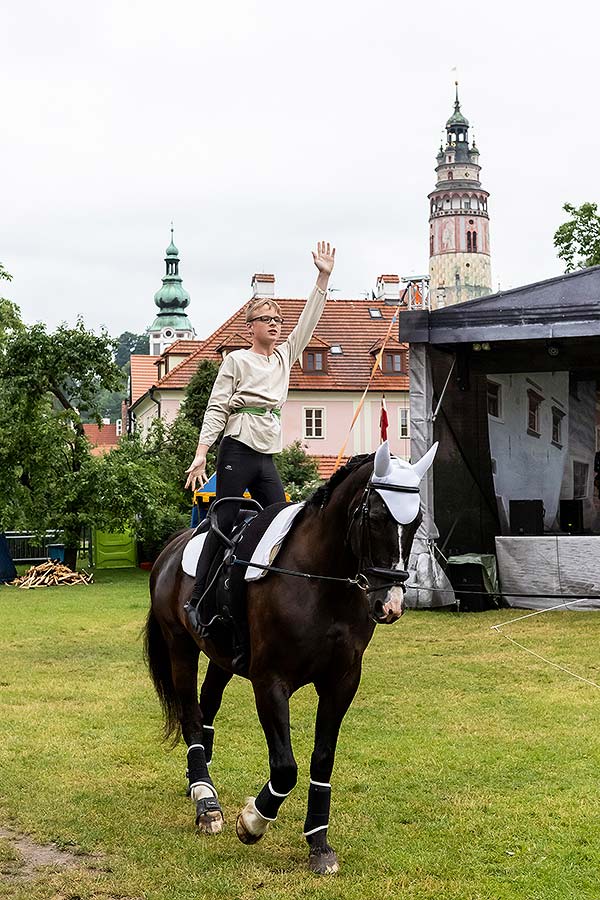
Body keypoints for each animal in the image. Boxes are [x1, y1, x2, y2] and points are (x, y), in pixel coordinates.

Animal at [145, 440, 436, 876]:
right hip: (180, 645)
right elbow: (285, 767)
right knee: (191, 717)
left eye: (415, 521)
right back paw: (205, 801)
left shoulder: (342, 682)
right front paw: (252, 822)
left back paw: (199, 781)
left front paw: (319, 843)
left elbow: (322, 760)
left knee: (206, 706)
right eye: (374, 516)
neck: (321, 582)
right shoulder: (270, 683)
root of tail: (173, 547)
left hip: (221, 657)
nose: (390, 605)